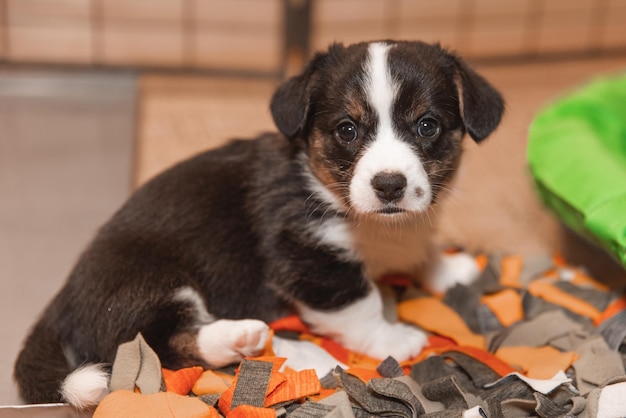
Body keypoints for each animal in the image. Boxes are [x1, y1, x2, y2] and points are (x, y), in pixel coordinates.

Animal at [13, 40, 502, 408]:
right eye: (347, 130)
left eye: (427, 126)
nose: (389, 185)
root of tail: (60, 304)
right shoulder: (310, 258)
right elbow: (359, 304)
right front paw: (396, 340)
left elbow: (421, 248)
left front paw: (451, 268)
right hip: (150, 284)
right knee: (154, 346)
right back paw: (241, 338)